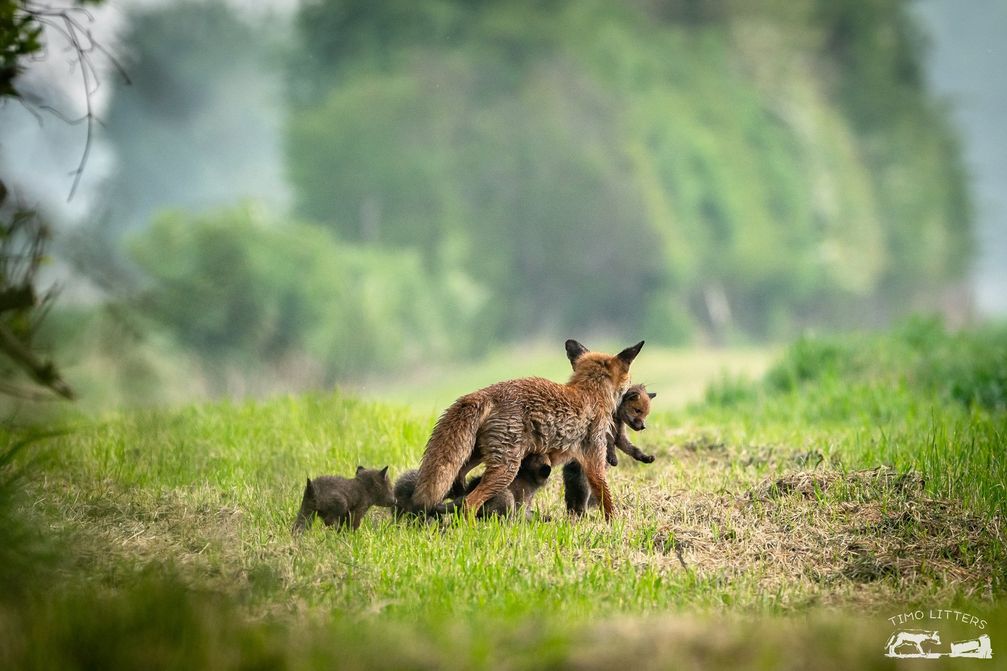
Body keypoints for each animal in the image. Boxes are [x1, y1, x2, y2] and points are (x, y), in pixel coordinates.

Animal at [408, 340, 644, 515]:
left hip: (474, 458)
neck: (590, 393)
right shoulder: (594, 461)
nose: (633, 390)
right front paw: (615, 527)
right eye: (629, 377)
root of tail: (484, 393)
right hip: (506, 469)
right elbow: (607, 502)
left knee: (459, 489)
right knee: (469, 503)